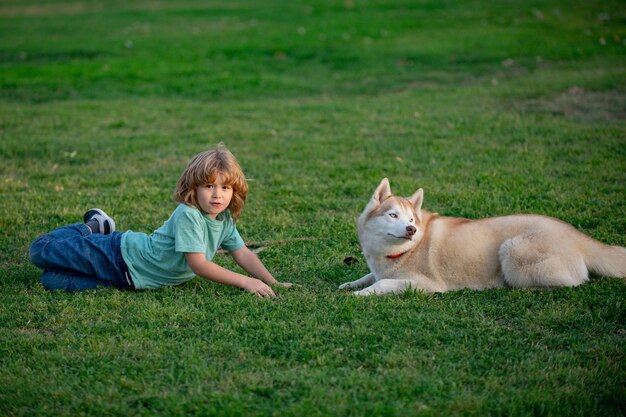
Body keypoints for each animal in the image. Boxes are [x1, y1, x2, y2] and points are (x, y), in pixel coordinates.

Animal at [338, 177, 624, 294]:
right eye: (393, 215)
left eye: (410, 220)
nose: (411, 229)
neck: (404, 252)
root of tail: (575, 233)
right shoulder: (379, 269)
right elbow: (369, 276)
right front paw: (350, 284)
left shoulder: (424, 285)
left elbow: (382, 284)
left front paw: (360, 295)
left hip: (512, 251)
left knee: (572, 283)